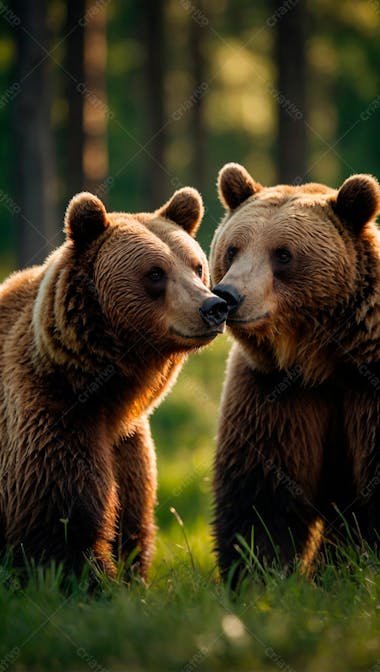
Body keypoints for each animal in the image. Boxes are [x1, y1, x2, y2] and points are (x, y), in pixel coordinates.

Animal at [0, 186, 227, 580]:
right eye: (155, 273)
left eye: (198, 267)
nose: (213, 307)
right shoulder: (49, 413)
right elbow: (62, 524)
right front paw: (96, 577)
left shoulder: (128, 442)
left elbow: (132, 519)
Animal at [209, 163, 380, 584]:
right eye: (233, 249)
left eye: (283, 254)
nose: (228, 296)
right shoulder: (274, 393)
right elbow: (261, 495)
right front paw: (258, 575)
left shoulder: (366, 388)